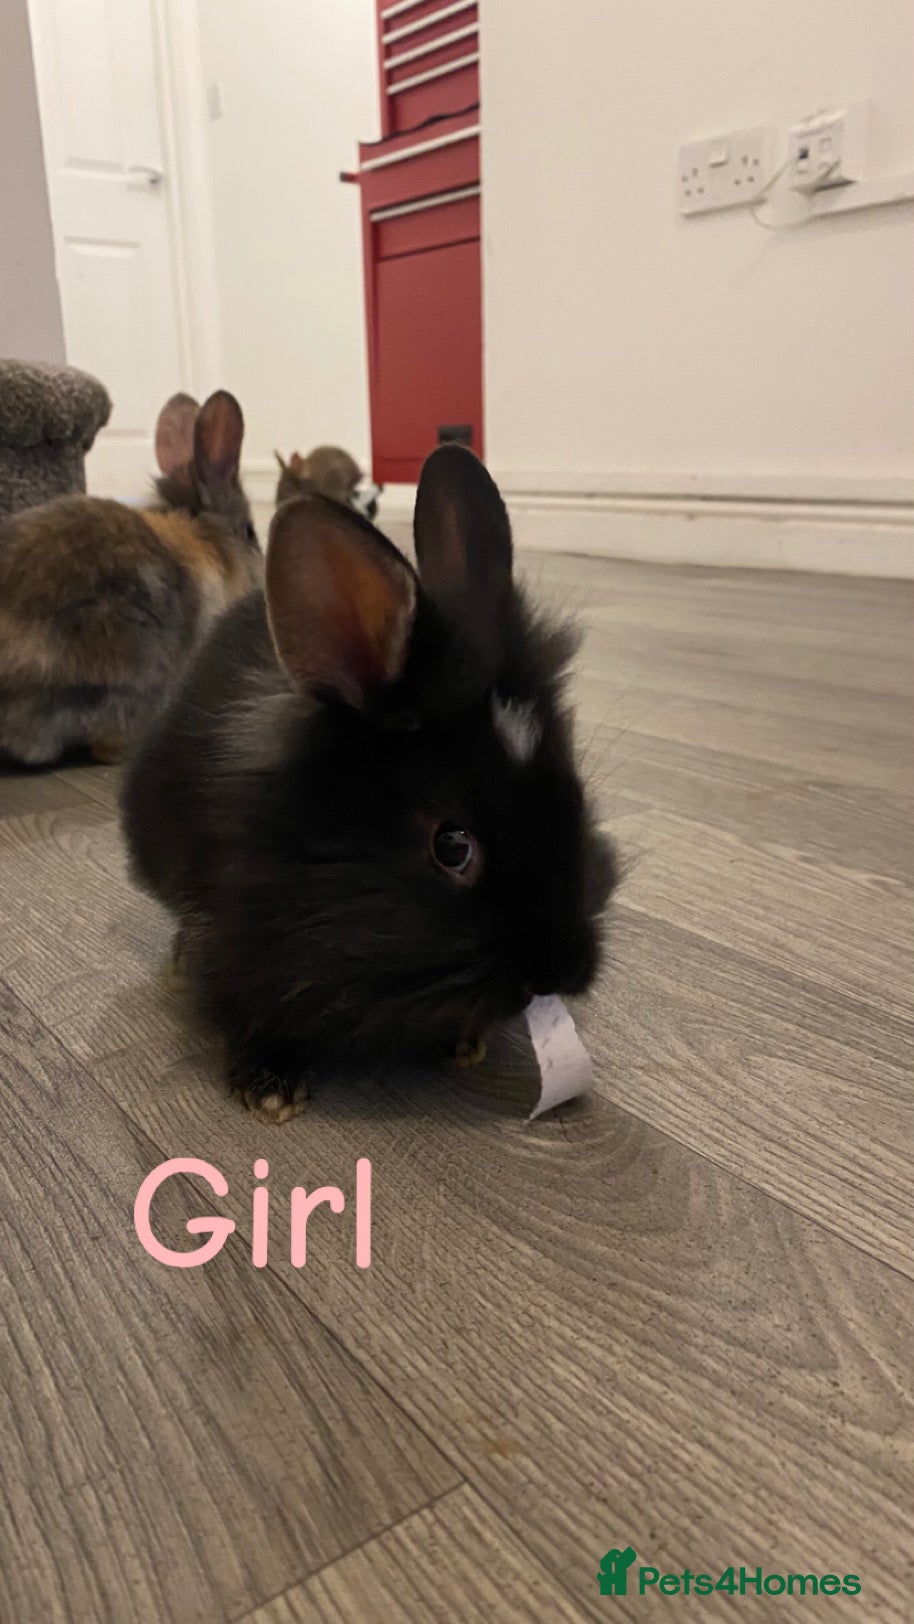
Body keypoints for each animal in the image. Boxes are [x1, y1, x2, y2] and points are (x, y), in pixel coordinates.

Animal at [121, 444, 616, 1122]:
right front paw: (269, 1088)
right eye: (452, 847)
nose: (561, 972)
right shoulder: (233, 934)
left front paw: (465, 1044)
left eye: (578, 798)